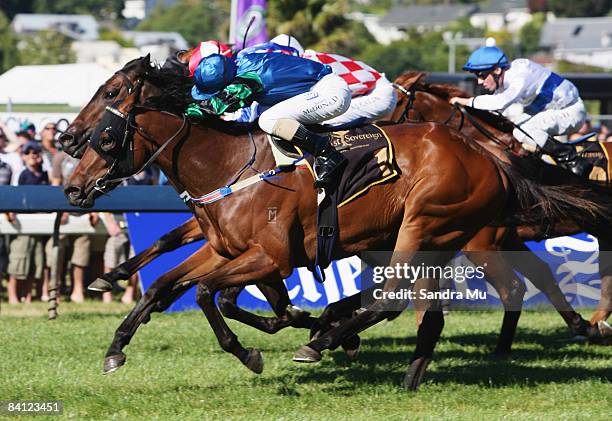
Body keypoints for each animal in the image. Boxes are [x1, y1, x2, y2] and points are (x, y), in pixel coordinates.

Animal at [63, 61, 612, 388]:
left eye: (108, 120)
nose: (71, 182)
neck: (228, 165)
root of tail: (491, 159)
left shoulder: (270, 256)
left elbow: (208, 295)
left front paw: (253, 351)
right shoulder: (224, 248)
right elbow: (164, 283)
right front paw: (115, 347)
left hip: (431, 225)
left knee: (399, 297)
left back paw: (323, 341)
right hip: (435, 237)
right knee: (425, 309)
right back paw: (405, 371)